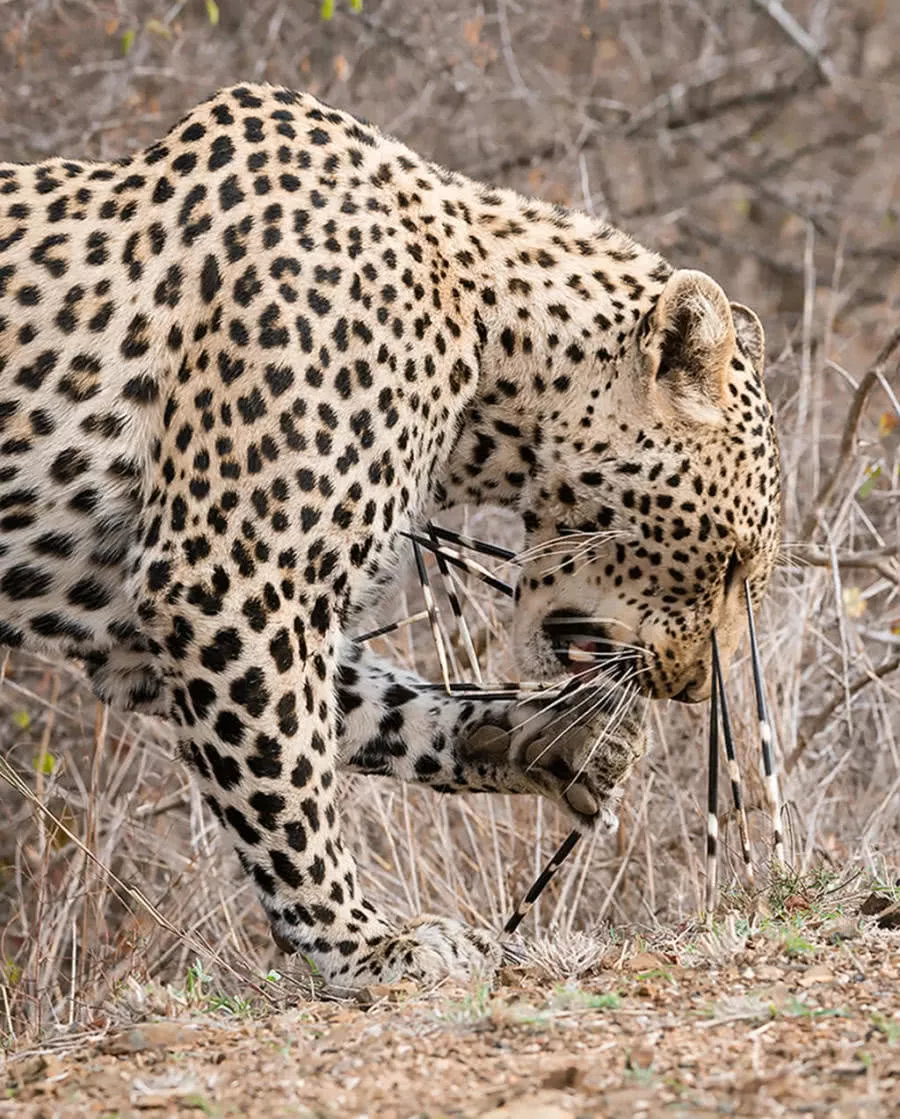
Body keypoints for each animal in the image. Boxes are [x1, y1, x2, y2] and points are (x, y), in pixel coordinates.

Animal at [0, 82, 779, 993]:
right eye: (729, 562)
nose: (693, 690)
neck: (485, 330)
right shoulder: (229, 579)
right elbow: (286, 783)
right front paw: (364, 943)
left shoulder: (124, 617)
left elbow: (372, 706)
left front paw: (553, 739)